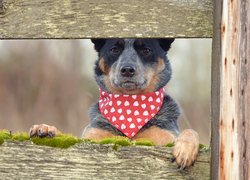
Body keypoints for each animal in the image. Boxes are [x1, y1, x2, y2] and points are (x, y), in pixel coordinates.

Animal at [29, 38, 199, 169]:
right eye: (114, 49)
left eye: (146, 50)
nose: (127, 70)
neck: (130, 106)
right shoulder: (91, 138)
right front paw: (47, 128)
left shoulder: (164, 138)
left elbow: (190, 131)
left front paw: (185, 148)